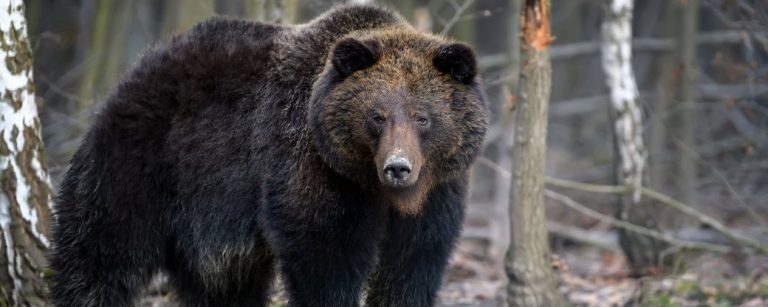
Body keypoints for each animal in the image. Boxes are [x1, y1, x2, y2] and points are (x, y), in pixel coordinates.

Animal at [49, 3, 486, 307]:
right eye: (377, 116)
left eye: (422, 117)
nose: (398, 167)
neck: (376, 188)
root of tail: (137, 70)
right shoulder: (313, 169)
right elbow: (325, 254)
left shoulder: (436, 195)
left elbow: (413, 264)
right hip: (140, 165)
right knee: (98, 254)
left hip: (210, 220)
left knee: (223, 284)